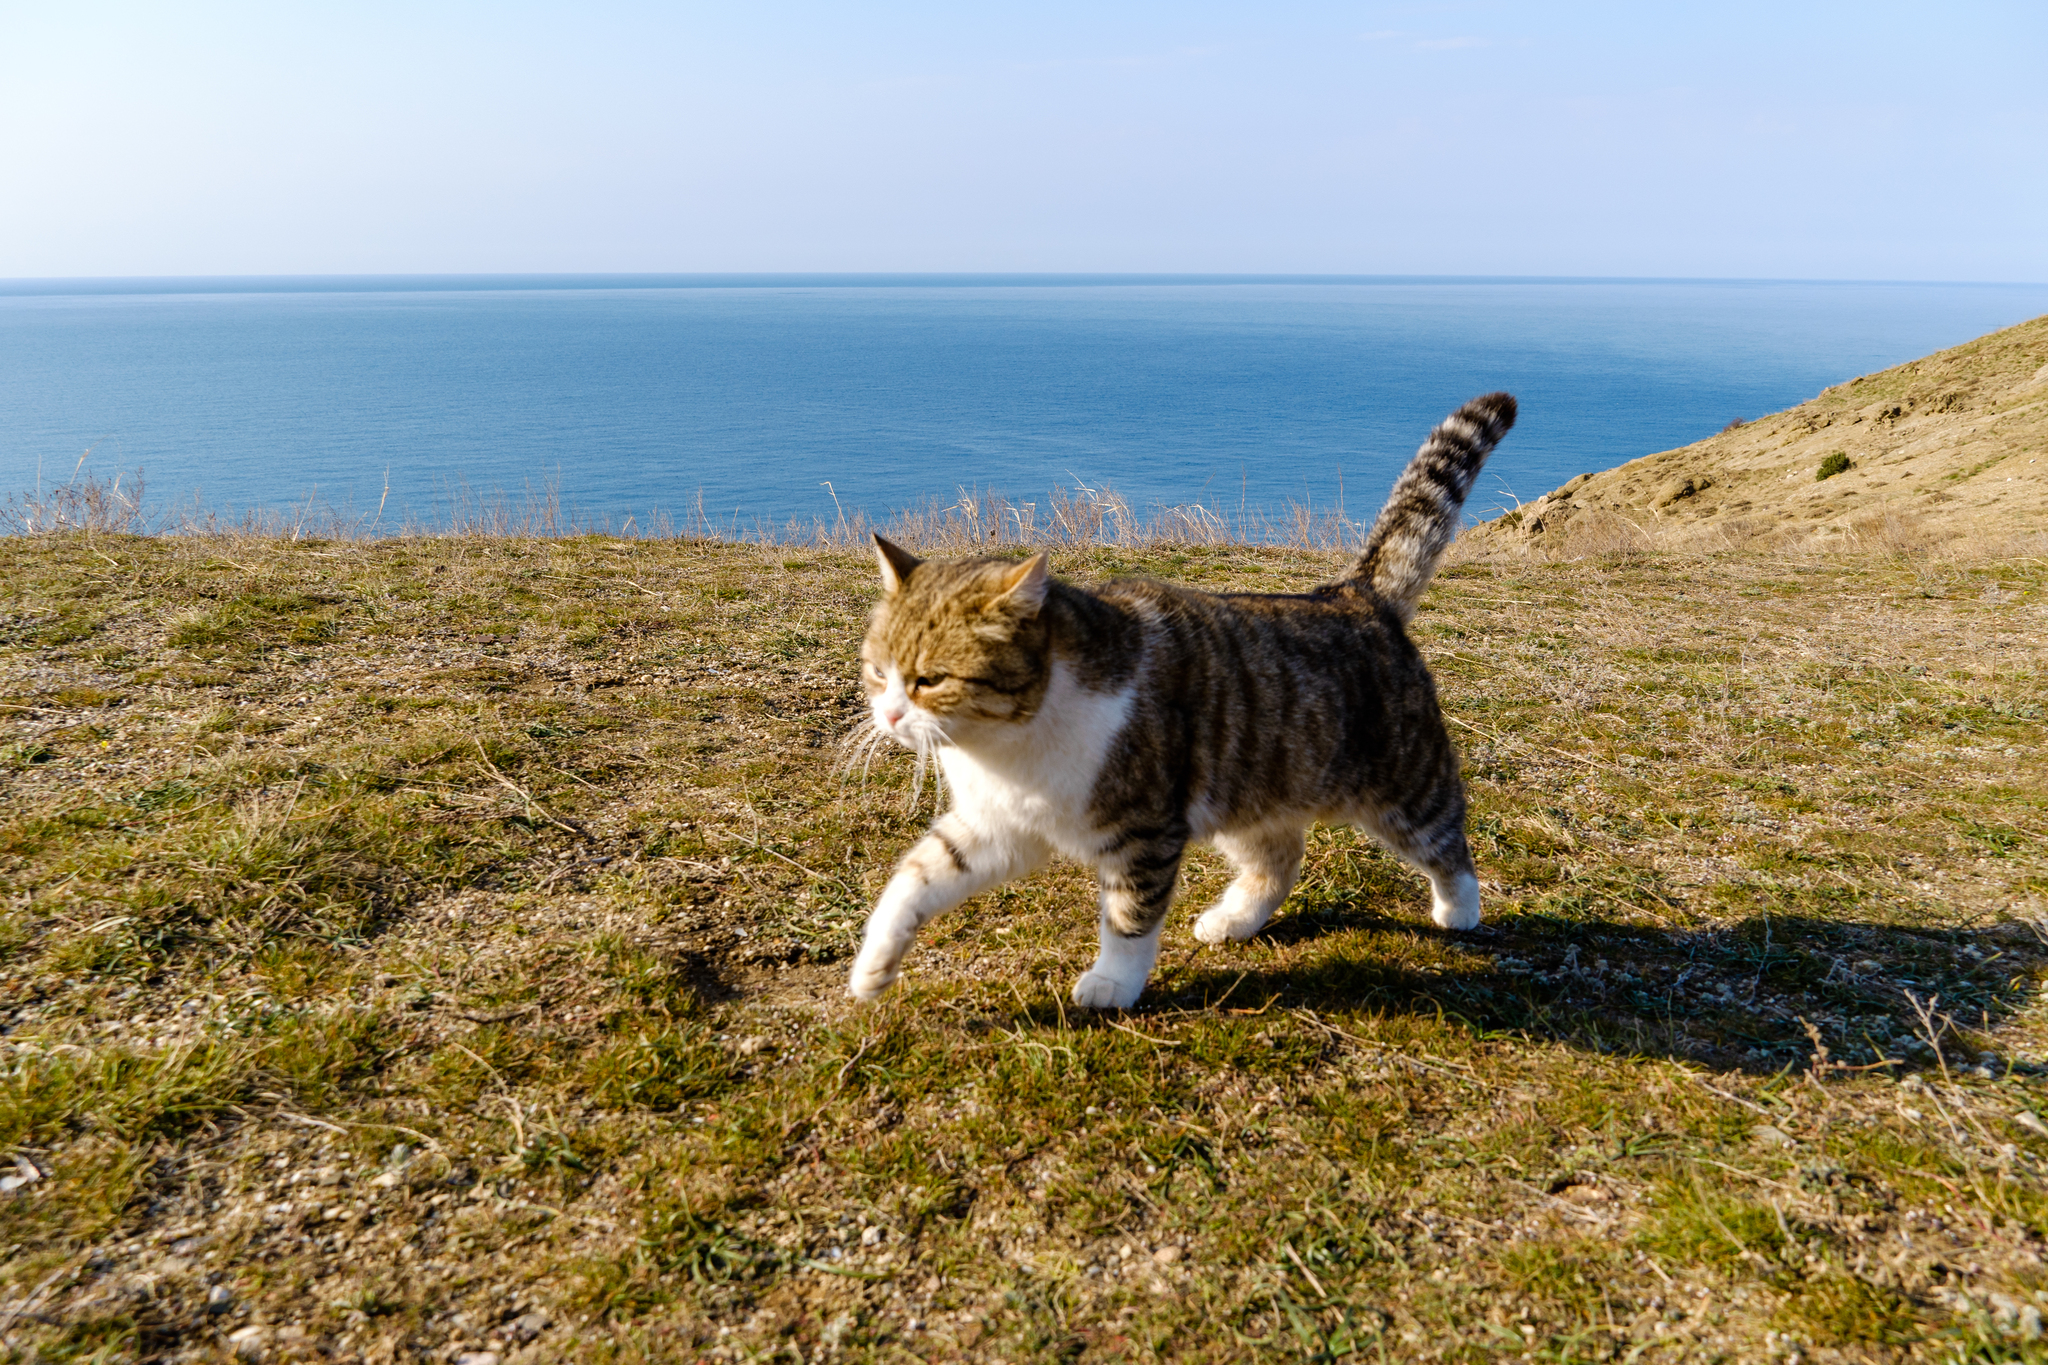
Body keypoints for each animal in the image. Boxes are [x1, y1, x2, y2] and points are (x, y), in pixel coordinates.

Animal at [839, 388, 1515, 1010]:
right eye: (877, 671)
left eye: (929, 680)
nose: (890, 715)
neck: (1005, 744)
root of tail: (1353, 594)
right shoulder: (997, 826)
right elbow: (916, 878)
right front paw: (873, 964)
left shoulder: (1144, 830)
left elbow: (1129, 919)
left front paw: (1114, 983)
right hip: (1243, 790)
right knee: (1280, 856)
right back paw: (1235, 918)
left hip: (1402, 786)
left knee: (1446, 839)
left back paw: (1459, 909)